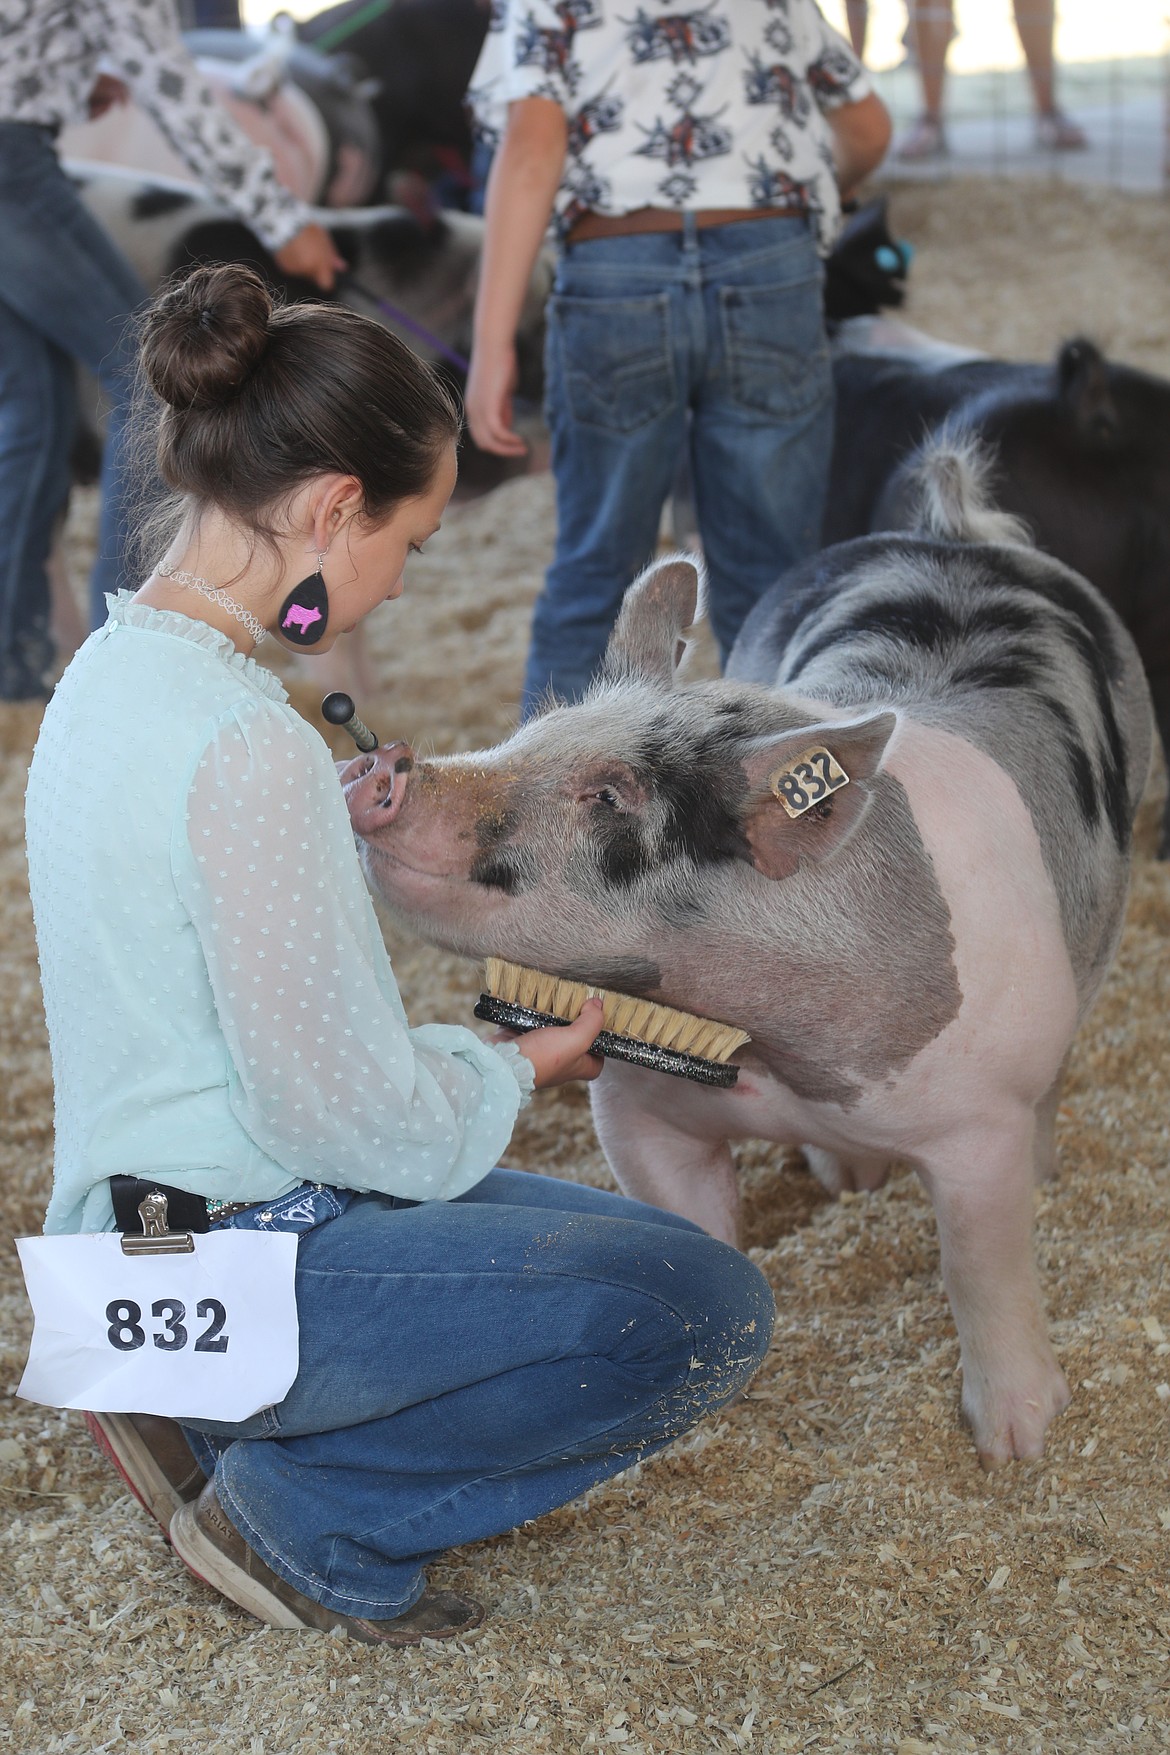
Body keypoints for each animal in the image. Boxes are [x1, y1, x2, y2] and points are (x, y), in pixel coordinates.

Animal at [343, 438, 1157, 1467]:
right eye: (531, 730)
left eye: (609, 796)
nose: (383, 766)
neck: (773, 1048)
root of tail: (958, 535)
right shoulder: (639, 1110)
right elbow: (700, 1240)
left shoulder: (982, 1123)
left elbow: (983, 1268)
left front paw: (1017, 1447)